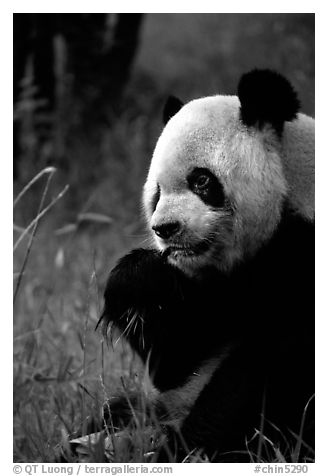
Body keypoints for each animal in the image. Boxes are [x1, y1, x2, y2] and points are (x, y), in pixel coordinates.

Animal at [98, 69, 316, 462]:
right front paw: (139, 280)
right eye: (157, 192)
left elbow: (265, 369)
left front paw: (189, 449)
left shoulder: (302, 255)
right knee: (122, 407)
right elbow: (179, 360)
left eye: (201, 180)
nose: (165, 229)